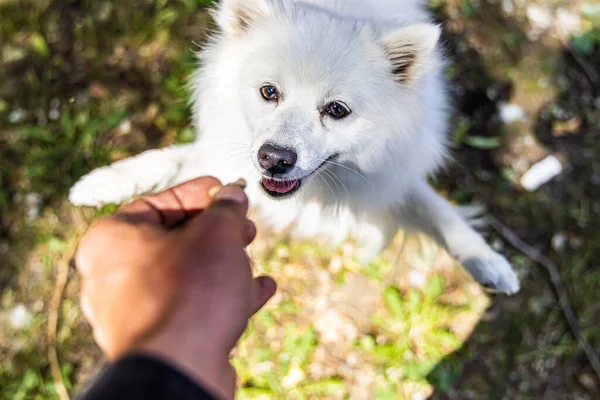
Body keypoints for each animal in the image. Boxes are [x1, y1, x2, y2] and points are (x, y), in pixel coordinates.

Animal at [70, 0, 520, 294]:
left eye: (336, 110)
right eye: (269, 92)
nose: (273, 158)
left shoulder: (388, 180)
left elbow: (440, 212)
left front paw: (490, 263)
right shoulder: (222, 152)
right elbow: (168, 159)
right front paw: (100, 183)